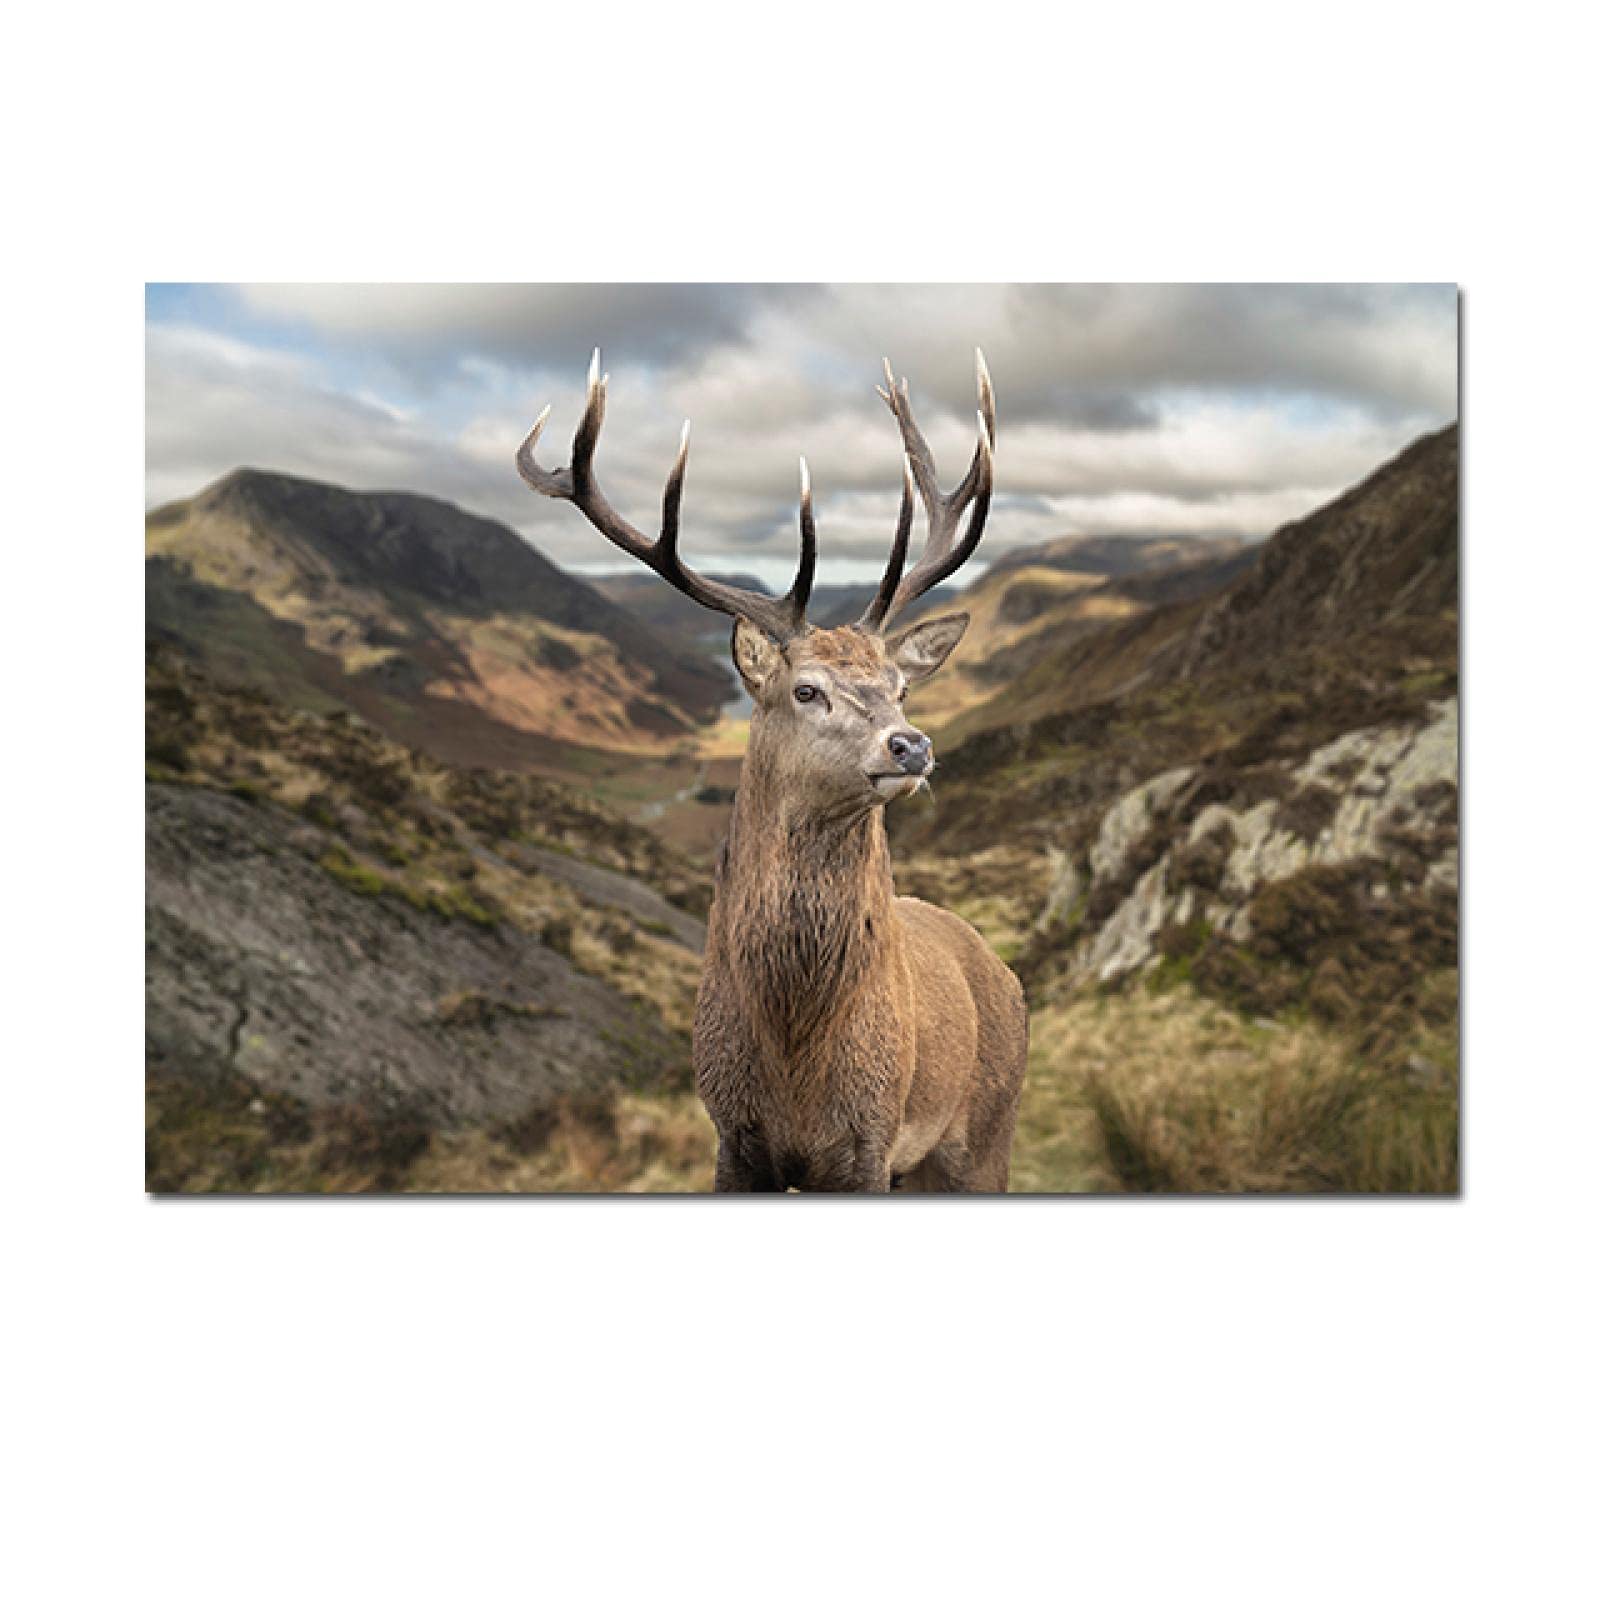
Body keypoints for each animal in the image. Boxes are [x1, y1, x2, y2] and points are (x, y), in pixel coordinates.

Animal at [516, 350, 1028, 1192]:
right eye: (806, 689)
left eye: (901, 687)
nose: (910, 745)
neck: (793, 1054)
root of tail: (1004, 971)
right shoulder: (733, 1135)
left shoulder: (869, 1142)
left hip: (984, 1135)